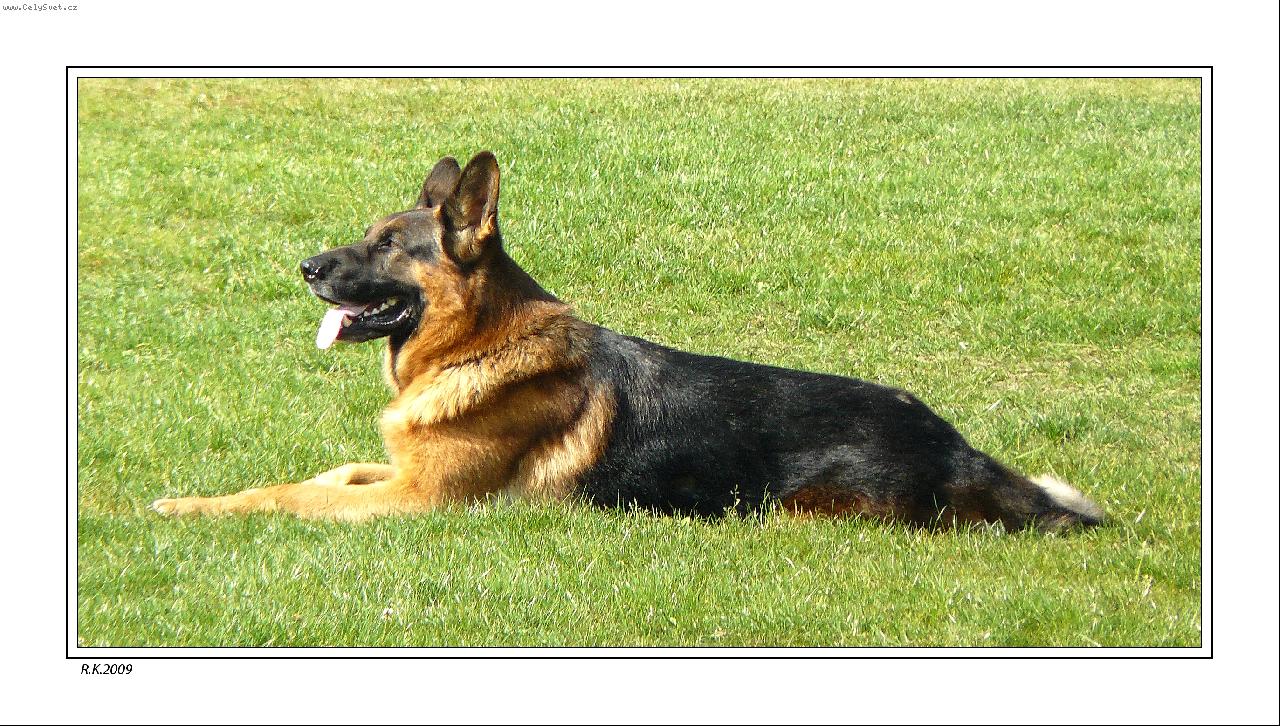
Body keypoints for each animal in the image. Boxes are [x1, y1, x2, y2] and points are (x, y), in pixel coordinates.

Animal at [151, 152, 1104, 531]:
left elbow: (295, 496)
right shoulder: (394, 474)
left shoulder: (421, 501)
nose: (306, 266)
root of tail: (952, 442)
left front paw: (201, 509)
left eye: (388, 246)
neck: (476, 349)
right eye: (364, 235)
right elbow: (322, 474)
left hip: (799, 509)